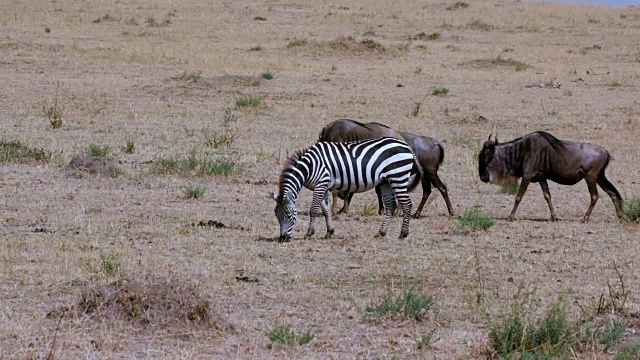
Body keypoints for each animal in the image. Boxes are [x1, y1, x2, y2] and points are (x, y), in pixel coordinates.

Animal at [272, 137, 422, 242]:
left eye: (289, 215)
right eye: (277, 216)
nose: (282, 239)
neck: (310, 166)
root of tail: (406, 146)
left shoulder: (320, 184)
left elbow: (313, 210)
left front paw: (309, 234)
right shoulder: (322, 186)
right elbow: (326, 210)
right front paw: (329, 232)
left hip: (398, 176)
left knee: (407, 204)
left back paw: (403, 234)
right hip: (386, 181)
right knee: (390, 206)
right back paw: (381, 233)